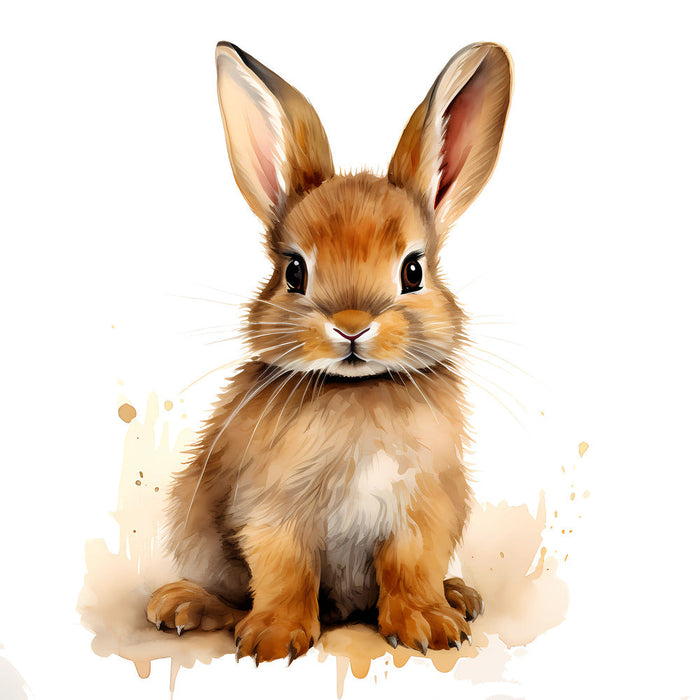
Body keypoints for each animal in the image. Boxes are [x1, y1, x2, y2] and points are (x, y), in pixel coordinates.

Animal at [147, 40, 512, 664]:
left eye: (413, 271)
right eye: (295, 271)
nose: (351, 326)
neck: (357, 391)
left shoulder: (424, 509)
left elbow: (411, 567)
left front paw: (430, 626)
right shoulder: (273, 509)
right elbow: (284, 569)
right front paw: (273, 638)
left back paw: (460, 596)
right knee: (231, 593)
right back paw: (180, 604)